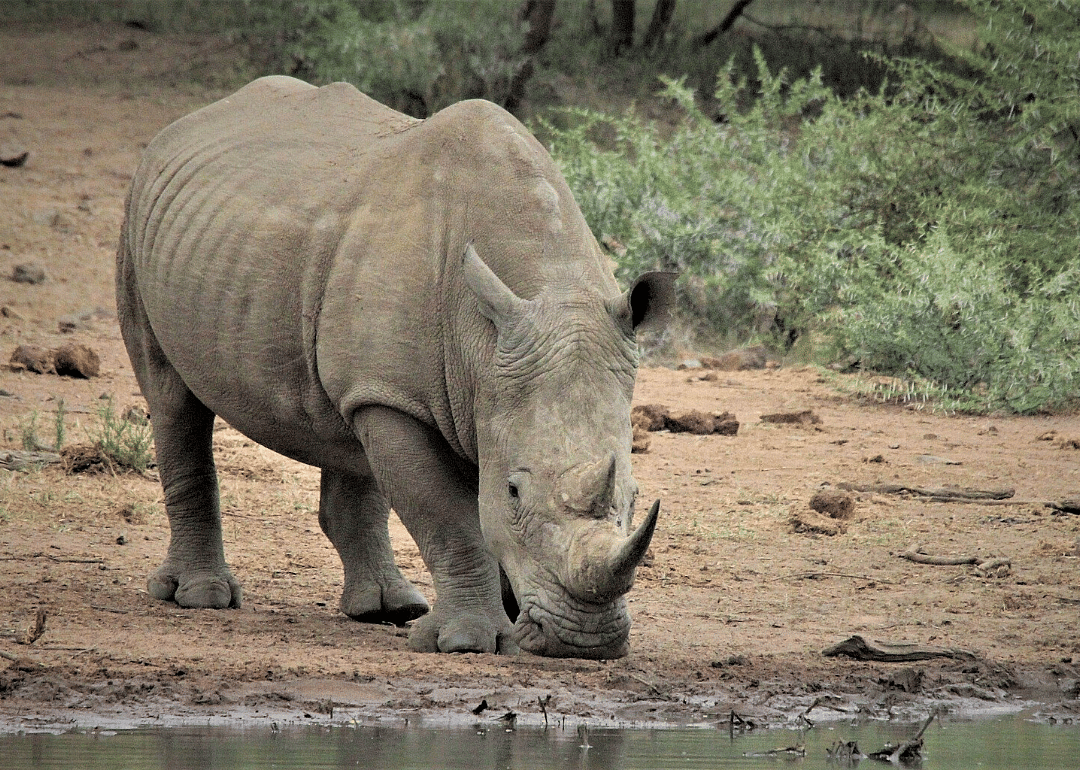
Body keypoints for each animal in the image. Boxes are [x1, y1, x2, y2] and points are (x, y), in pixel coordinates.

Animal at [116, 76, 674, 659]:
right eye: (515, 492)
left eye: (636, 497)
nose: (586, 641)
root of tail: (185, 123)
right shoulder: (398, 397)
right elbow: (449, 517)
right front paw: (469, 642)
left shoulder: (460, 389)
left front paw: (512, 619)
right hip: (138, 219)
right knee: (171, 396)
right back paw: (201, 597)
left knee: (344, 427)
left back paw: (388, 609)